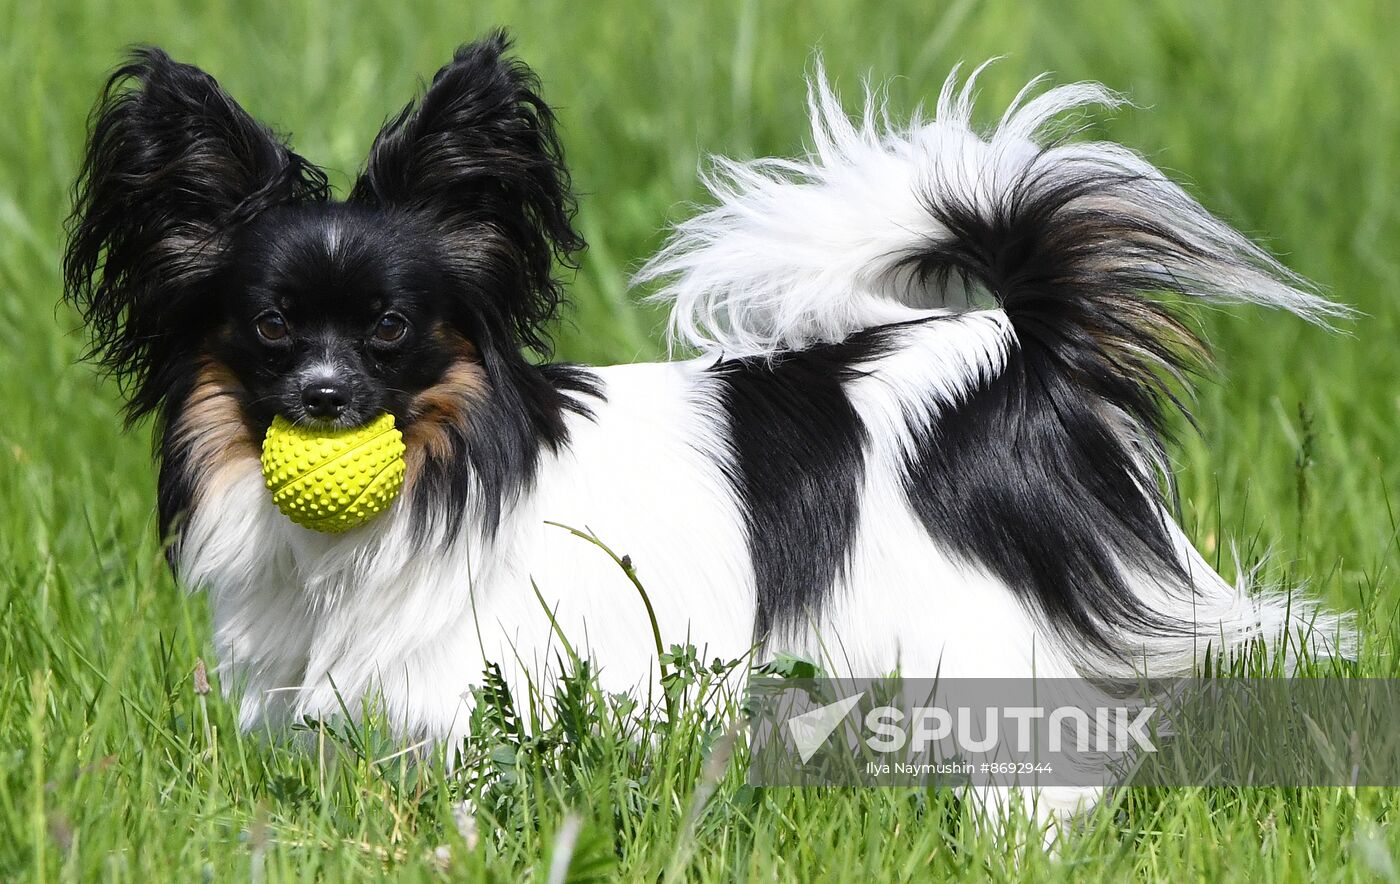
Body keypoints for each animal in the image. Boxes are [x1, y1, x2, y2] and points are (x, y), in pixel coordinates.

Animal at [65, 31, 1344, 762]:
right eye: (271, 328)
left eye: (389, 329)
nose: (325, 397)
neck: (439, 481)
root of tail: (1015, 354)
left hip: (980, 633)